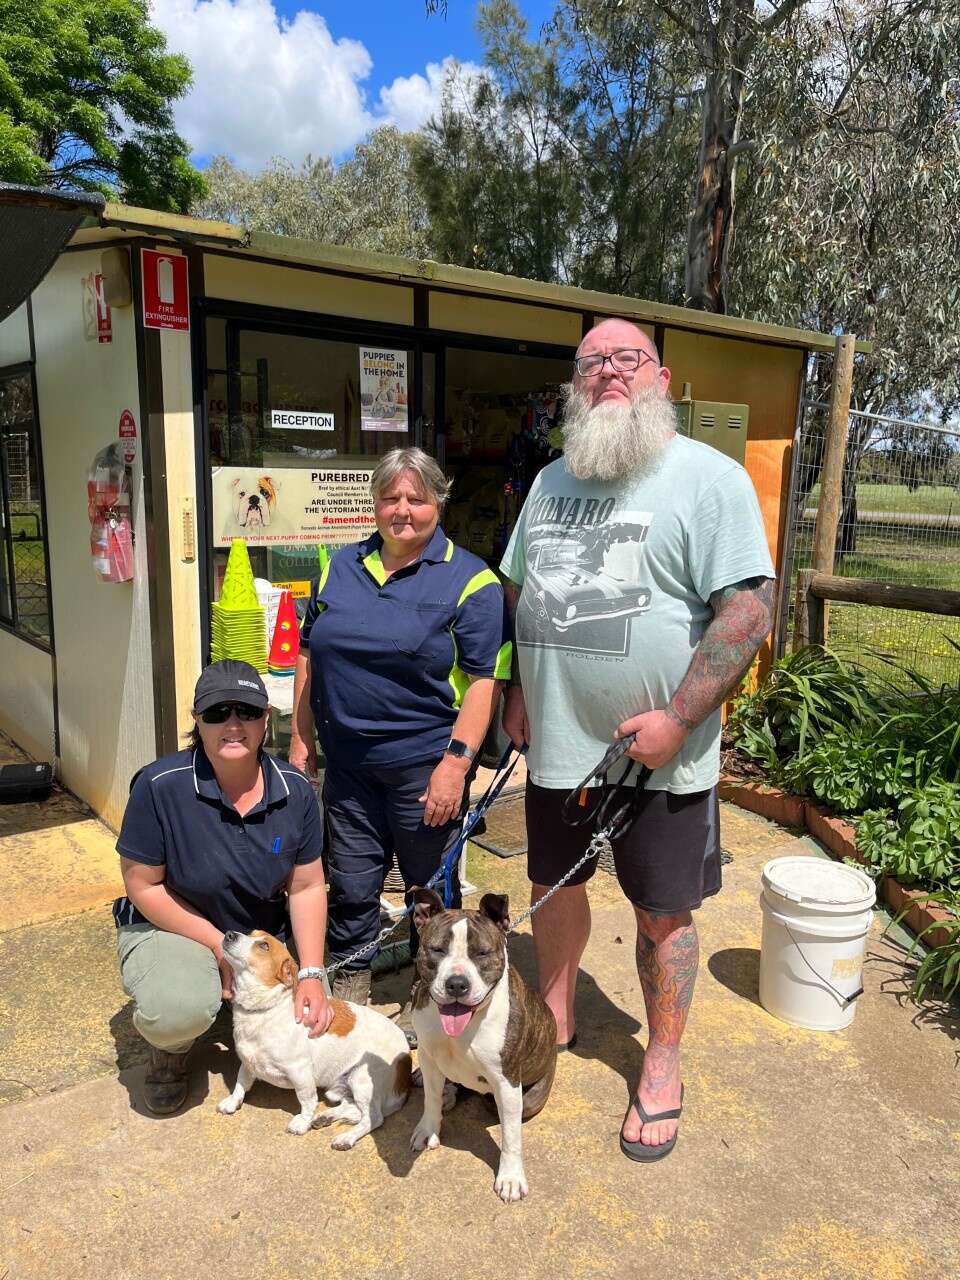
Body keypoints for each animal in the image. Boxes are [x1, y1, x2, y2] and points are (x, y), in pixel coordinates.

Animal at [217, 926, 414, 1146]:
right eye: (251, 933)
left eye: (264, 946)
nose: (229, 934)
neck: (263, 1011)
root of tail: (406, 1063)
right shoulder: (247, 1063)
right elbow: (240, 1083)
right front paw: (232, 1102)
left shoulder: (300, 1073)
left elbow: (307, 1100)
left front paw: (302, 1123)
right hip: (338, 1089)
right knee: (354, 1109)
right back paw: (325, 1117)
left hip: (361, 1078)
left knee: (373, 1118)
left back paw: (346, 1138)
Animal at [409, 890, 560, 1198]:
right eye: (437, 950)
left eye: (482, 953)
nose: (457, 983)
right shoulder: (429, 1058)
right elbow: (430, 1098)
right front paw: (428, 1129)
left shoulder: (506, 1082)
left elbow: (511, 1136)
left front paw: (511, 1177)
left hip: (531, 1095)